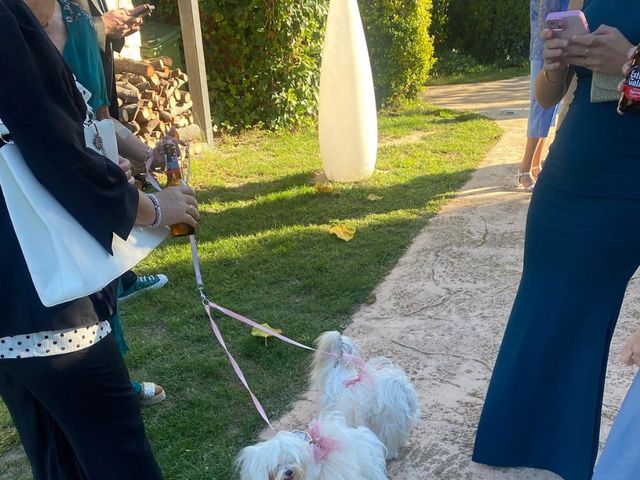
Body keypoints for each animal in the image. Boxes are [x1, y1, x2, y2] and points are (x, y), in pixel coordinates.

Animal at [310, 330, 420, 458]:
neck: (338, 368)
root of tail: (402, 389)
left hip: (388, 424)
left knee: (390, 442)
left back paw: (389, 455)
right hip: (401, 422)